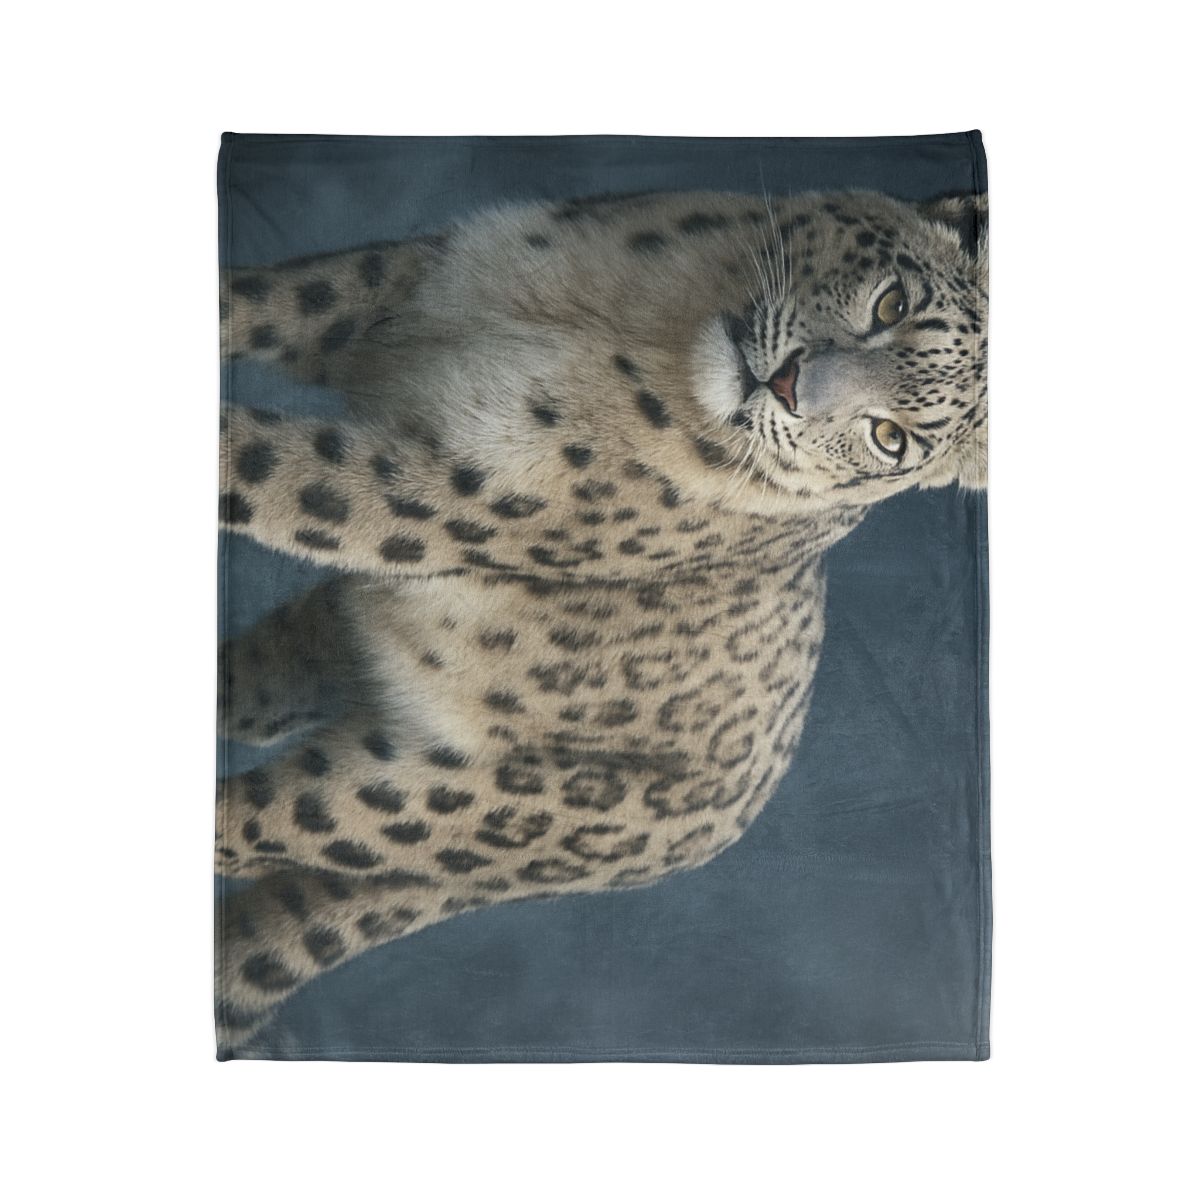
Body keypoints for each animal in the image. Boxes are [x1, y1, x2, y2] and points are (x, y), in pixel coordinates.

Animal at [216, 188, 988, 1051]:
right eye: (892, 304)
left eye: (891, 438)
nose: (787, 384)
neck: (631, 309)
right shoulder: (398, 283)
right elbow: (264, 300)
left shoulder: (437, 490)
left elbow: (267, 467)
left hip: (423, 801)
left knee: (246, 830)